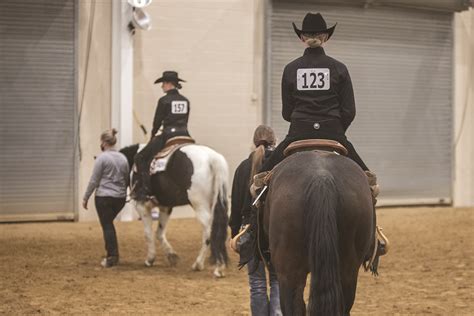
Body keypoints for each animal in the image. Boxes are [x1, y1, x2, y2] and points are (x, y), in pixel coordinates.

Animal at [119, 142, 229, 278]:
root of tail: (212, 157)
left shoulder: (141, 206)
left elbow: (148, 234)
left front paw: (150, 259)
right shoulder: (165, 207)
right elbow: (159, 233)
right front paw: (172, 256)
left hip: (199, 205)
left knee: (209, 232)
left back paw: (203, 265)